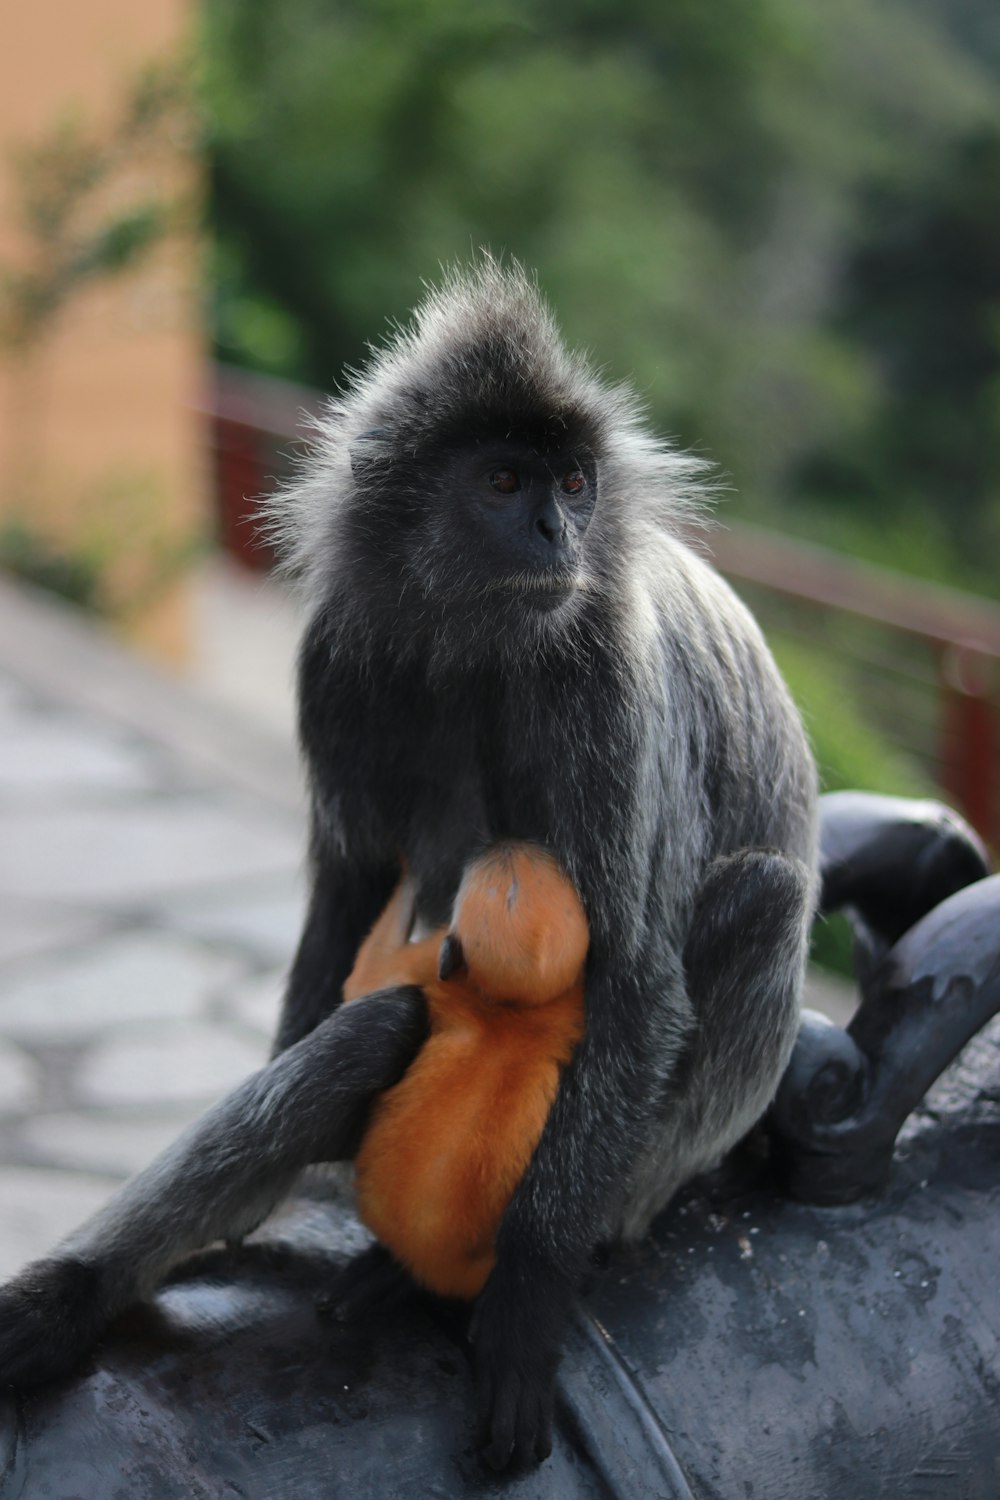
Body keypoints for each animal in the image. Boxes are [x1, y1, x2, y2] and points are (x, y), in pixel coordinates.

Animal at [341, 846, 587, 1302]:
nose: (510, 845)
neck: (514, 1014)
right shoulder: (572, 1005)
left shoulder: (435, 967)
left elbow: (366, 978)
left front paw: (407, 874)